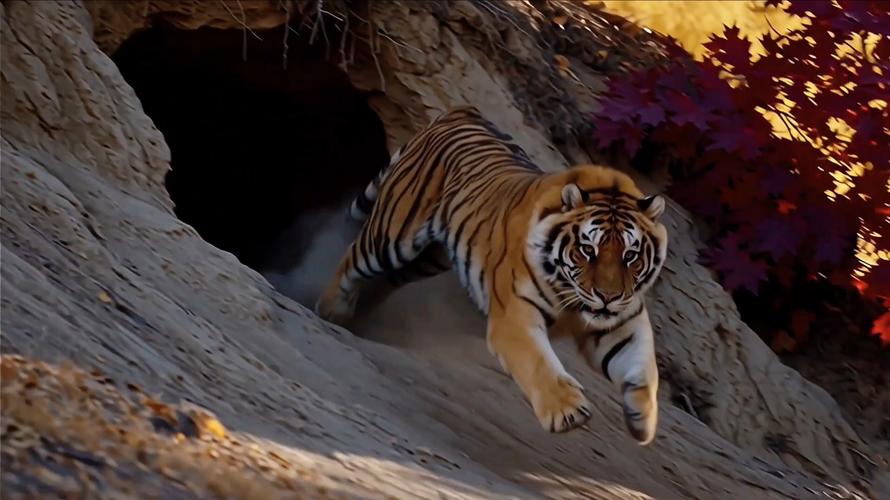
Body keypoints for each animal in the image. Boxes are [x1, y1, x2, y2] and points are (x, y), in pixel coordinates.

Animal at [316, 106, 668, 444]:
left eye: (630, 255)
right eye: (587, 249)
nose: (607, 297)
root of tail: (461, 110)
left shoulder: (624, 321)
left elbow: (644, 369)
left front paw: (643, 419)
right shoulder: (514, 316)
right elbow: (539, 363)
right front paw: (567, 410)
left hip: (429, 258)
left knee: (387, 280)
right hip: (393, 234)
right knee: (353, 257)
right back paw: (331, 310)